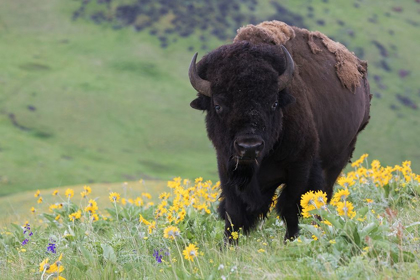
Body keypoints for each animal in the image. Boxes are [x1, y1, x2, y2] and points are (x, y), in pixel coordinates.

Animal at [188, 20, 370, 242]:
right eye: (218, 106)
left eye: (274, 103)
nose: (249, 146)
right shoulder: (227, 168)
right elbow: (234, 213)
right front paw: (228, 244)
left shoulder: (300, 168)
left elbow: (291, 207)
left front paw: (292, 241)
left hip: (338, 158)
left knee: (324, 194)